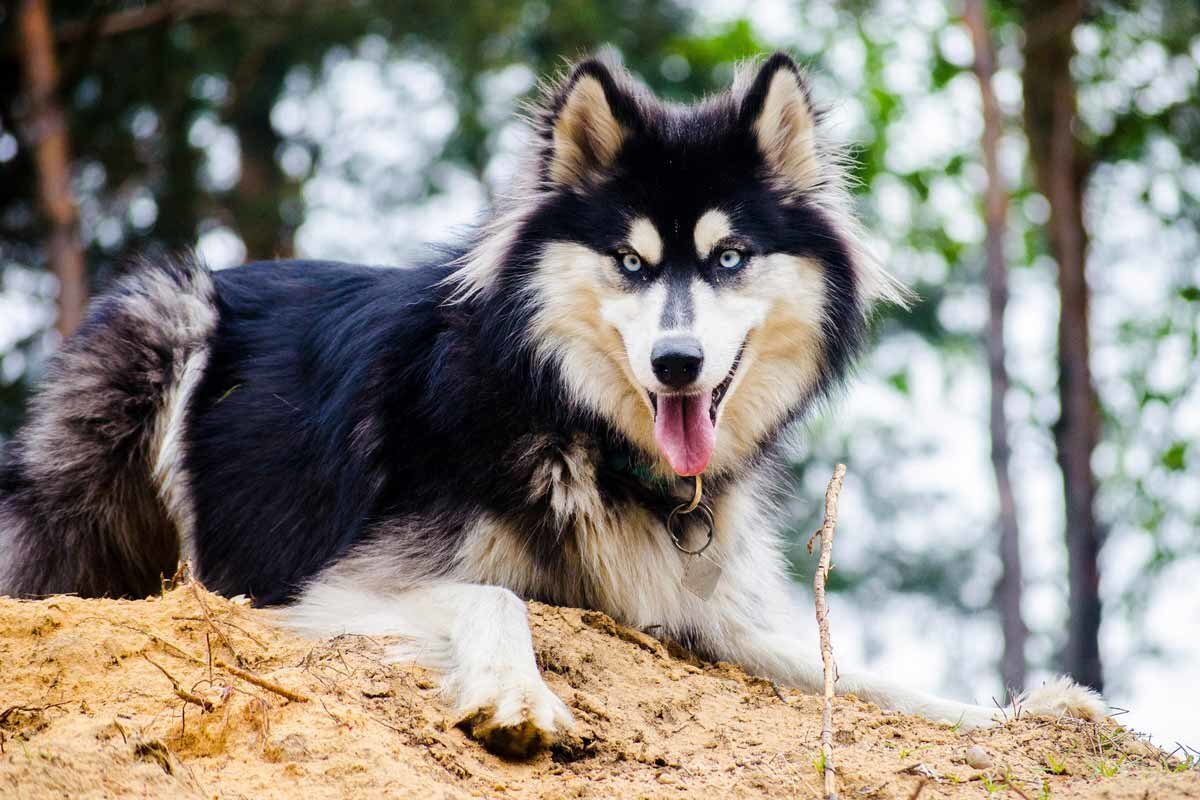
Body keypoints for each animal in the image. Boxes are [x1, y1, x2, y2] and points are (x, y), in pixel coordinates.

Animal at [2, 53, 1104, 753]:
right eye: (631, 260)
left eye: (730, 257)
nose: (676, 363)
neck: (577, 424)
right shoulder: (328, 590)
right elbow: (494, 597)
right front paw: (518, 696)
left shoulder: (698, 605)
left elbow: (853, 671)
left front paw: (1025, 708)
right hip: (164, 326)